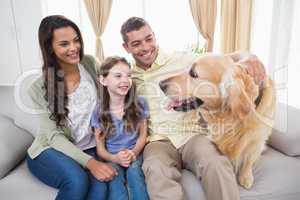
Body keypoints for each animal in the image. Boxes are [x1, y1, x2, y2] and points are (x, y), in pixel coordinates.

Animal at [159, 53, 276, 189]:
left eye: (193, 73)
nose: (160, 84)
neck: (231, 118)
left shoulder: (258, 139)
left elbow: (249, 158)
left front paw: (246, 176)